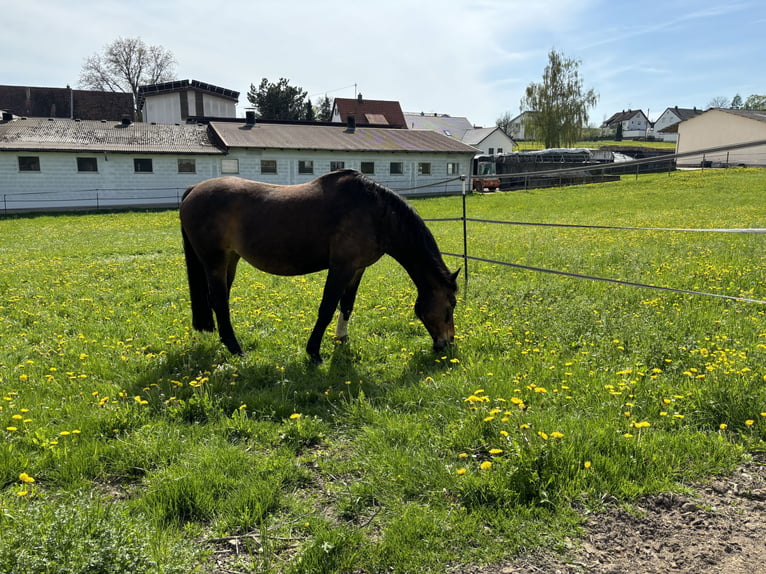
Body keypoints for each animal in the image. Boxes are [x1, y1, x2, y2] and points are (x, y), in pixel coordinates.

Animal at [180, 169, 462, 364]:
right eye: (450, 306)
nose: (447, 344)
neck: (376, 213)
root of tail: (193, 189)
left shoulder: (357, 269)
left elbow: (346, 305)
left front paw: (342, 339)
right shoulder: (341, 267)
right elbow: (326, 308)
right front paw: (314, 352)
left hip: (230, 260)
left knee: (219, 300)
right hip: (215, 261)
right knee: (219, 302)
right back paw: (236, 349)